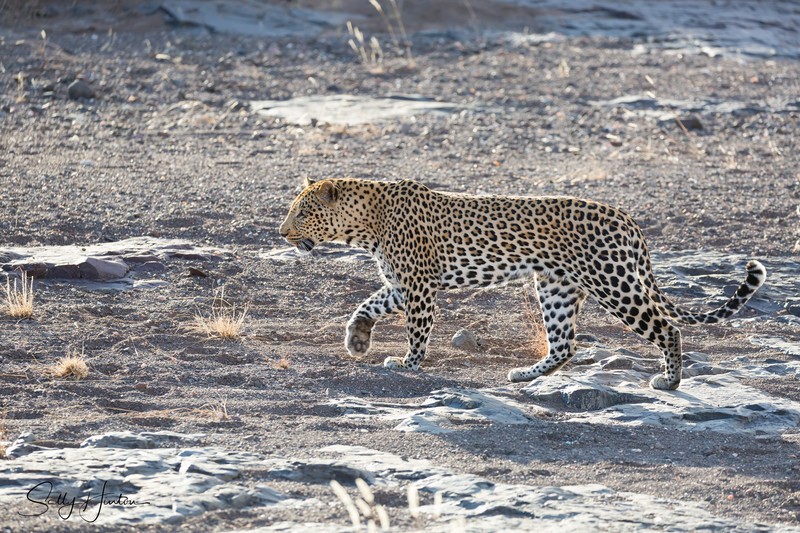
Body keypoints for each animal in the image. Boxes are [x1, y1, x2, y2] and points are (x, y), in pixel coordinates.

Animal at [279, 177, 766, 390]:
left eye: (301, 212)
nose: (282, 232)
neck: (365, 223)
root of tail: (628, 219)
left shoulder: (419, 286)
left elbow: (417, 330)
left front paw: (408, 363)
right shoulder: (402, 284)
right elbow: (366, 304)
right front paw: (357, 340)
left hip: (615, 283)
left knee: (668, 328)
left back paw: (669, 381)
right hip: (556, 288)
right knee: (565, 344)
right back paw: (524, 374)